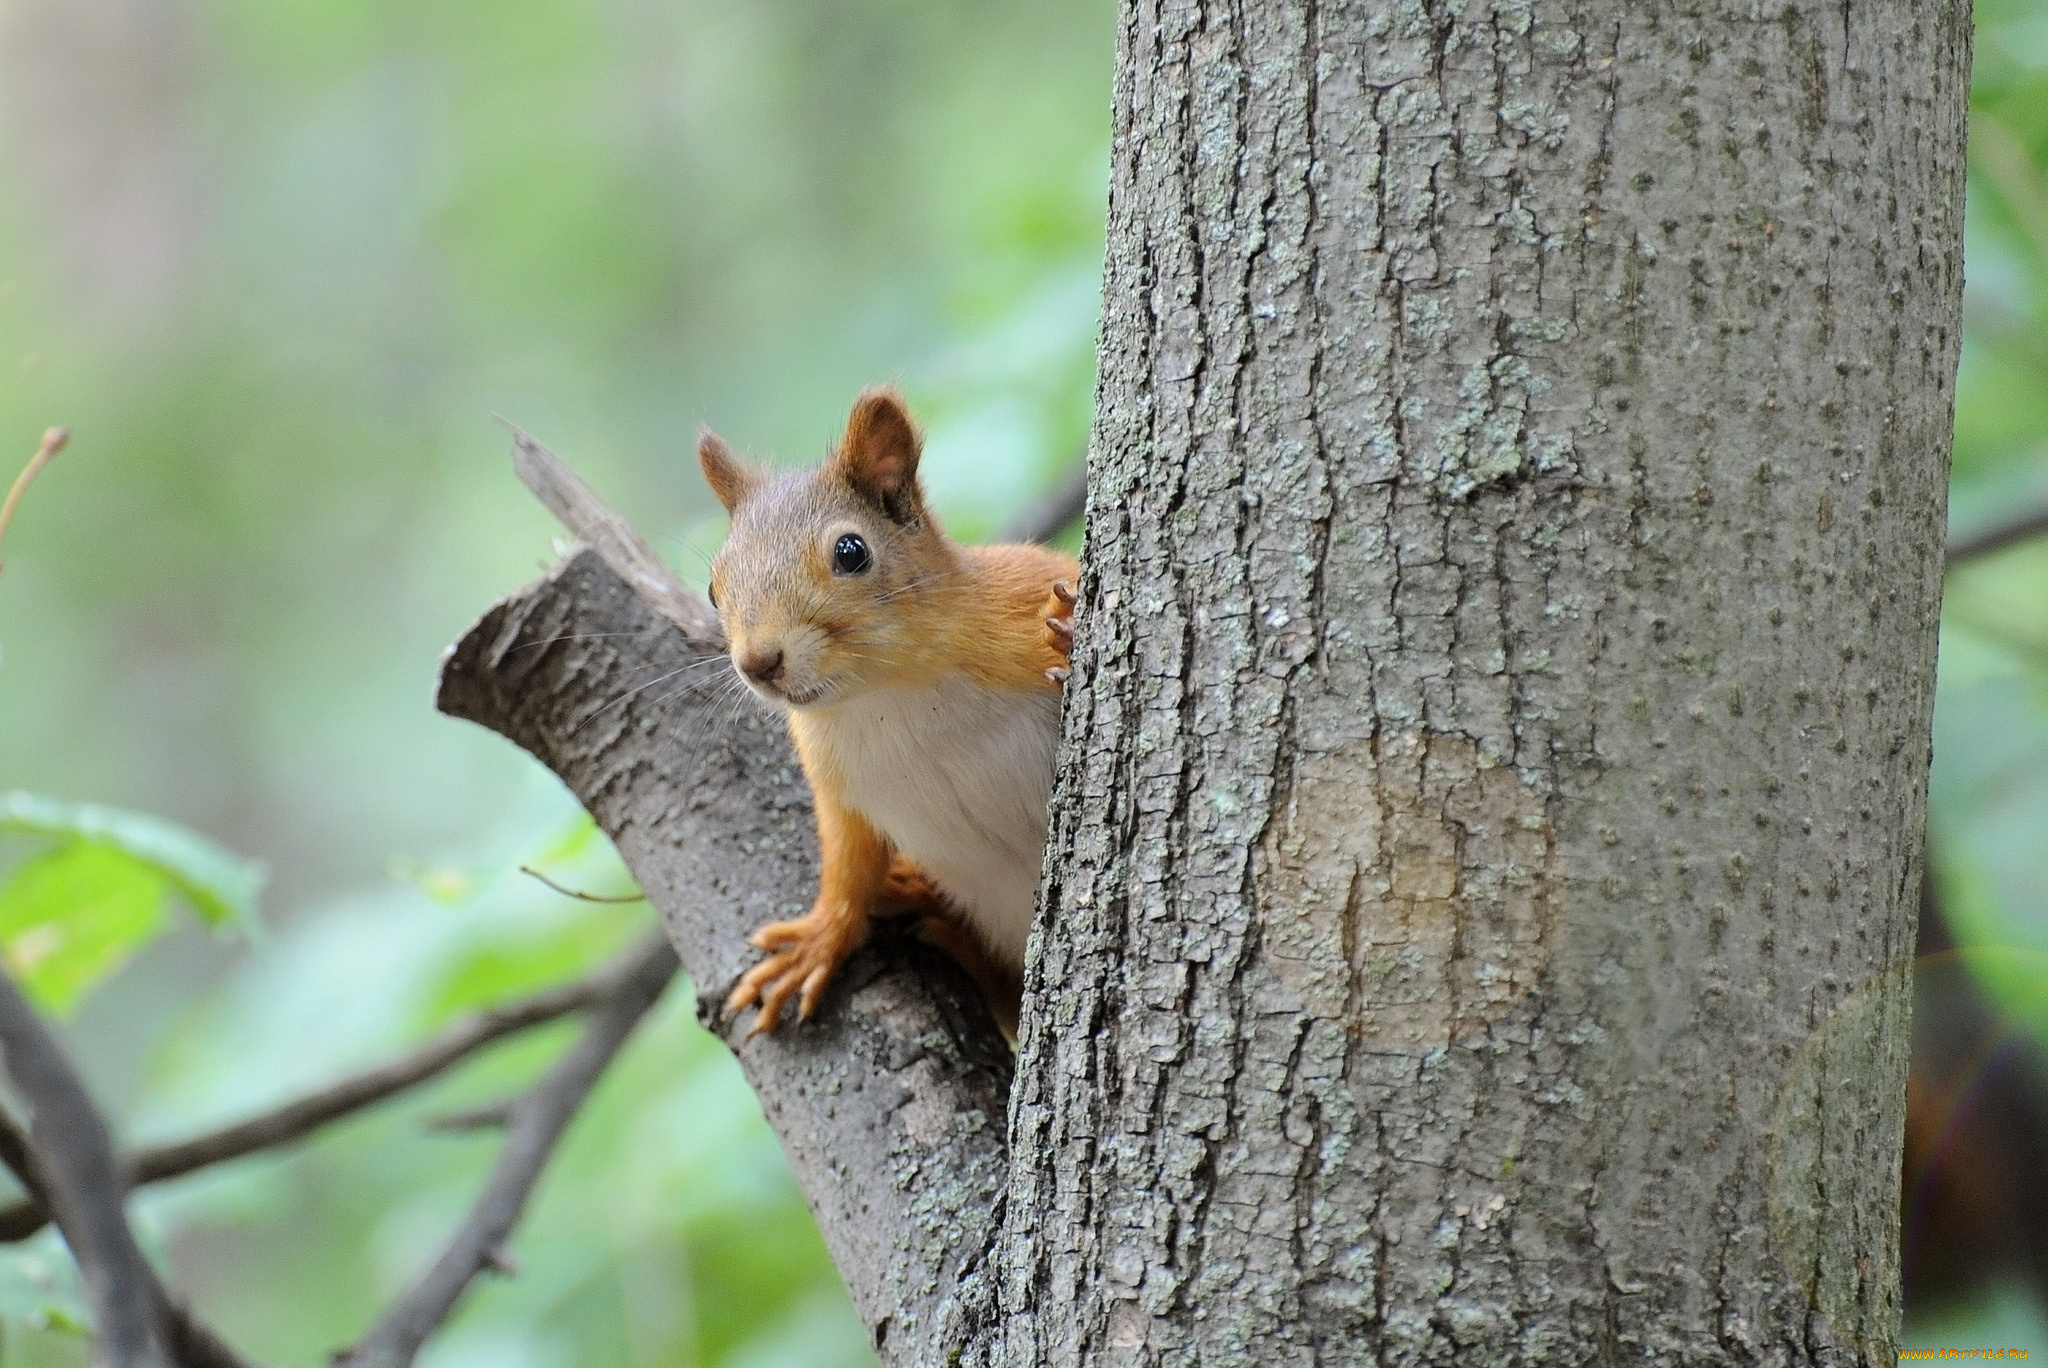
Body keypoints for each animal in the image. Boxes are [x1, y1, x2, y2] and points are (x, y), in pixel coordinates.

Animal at [696, 387, 1081, 1036]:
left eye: (851, 552)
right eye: (712, 588)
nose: (759, 663)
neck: (889, 695)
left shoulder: (1022, 589)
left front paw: (1071, 634)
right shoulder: (836, 783)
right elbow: (847, 862)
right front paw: (820, 940)